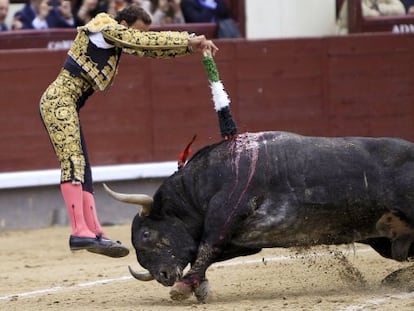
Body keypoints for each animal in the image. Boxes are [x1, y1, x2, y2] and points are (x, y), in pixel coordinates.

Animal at [102, 131, 414, 302]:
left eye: (146, 234)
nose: (163, 277)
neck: (200, 187)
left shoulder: (226, 213)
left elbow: (206, 248)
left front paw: (183, 288)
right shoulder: (242, 241)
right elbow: (206, 255)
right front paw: (199, 287)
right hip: (387, 238)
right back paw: (395, 280)